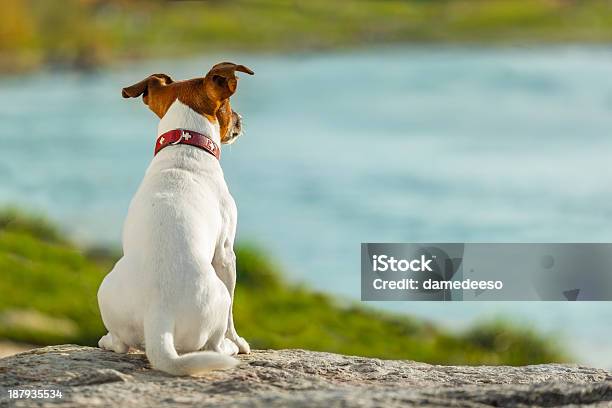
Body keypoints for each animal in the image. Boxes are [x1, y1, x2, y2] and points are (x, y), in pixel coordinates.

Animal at [97, 61, 253, 376]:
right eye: (229, 106)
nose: (240, 119)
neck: (185, 145)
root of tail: (159, 315)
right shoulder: (226, 253)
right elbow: (233, 315)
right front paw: (239, 341)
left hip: (105, 291)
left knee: (121, 342)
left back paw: (107, 340)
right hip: (217, 295)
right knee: (214, 342)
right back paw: (228, 347)